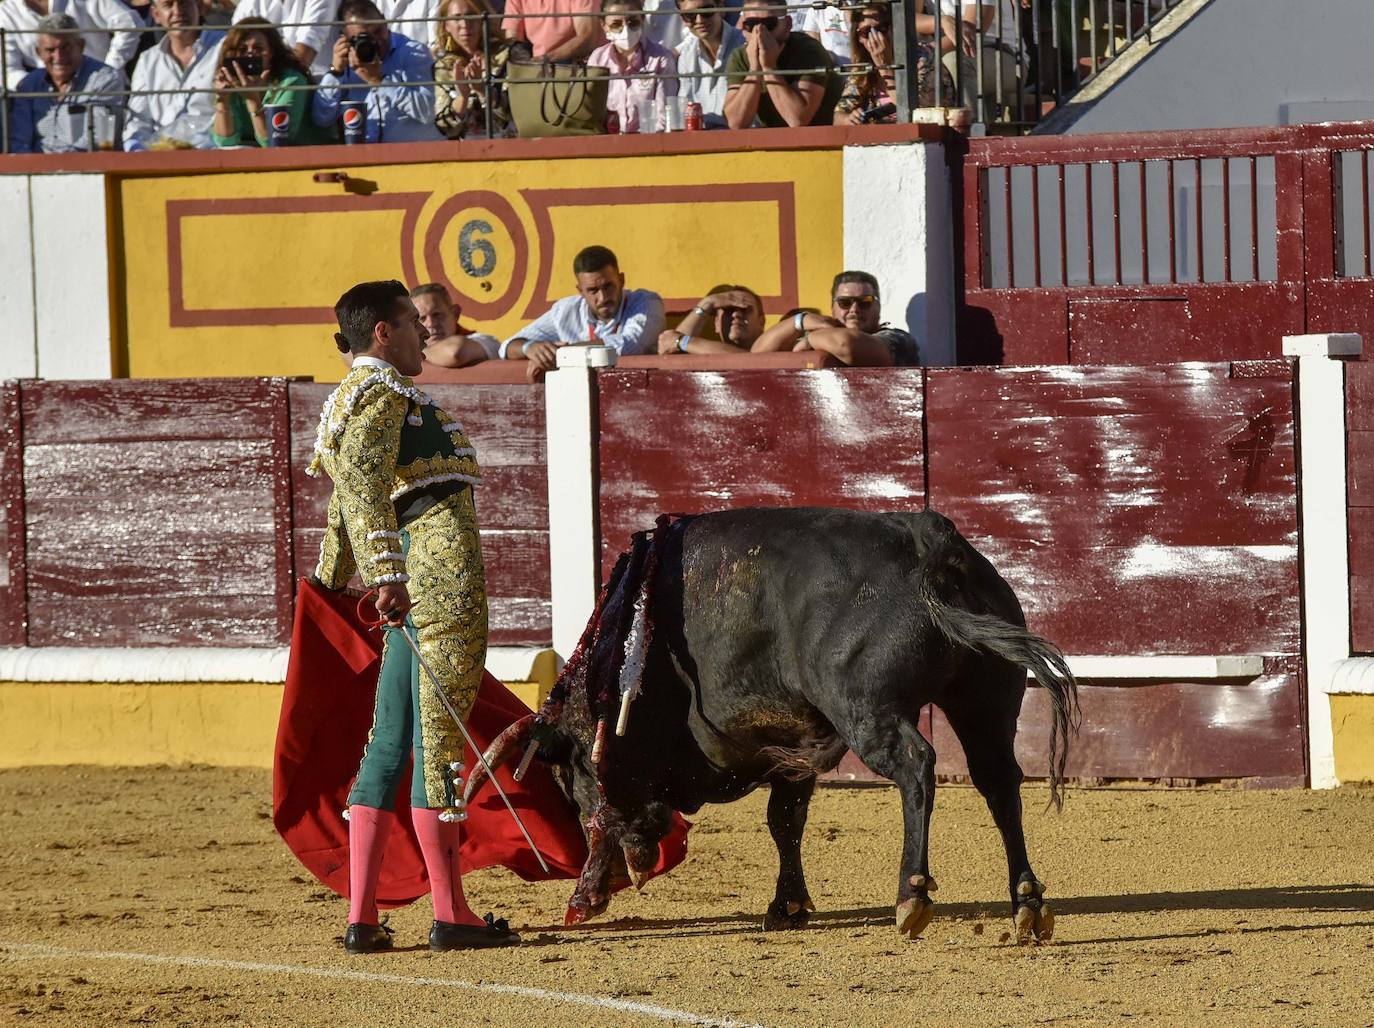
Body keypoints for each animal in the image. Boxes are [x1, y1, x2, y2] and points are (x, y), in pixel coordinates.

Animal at [467, 503, 1077, 940]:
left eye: (568, 777)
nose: (624, 873)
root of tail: (929, 539)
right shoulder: (793, 742)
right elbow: (786, 820)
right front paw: (787, 905)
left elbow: (610, 811)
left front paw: (586, 894)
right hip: (985, 702)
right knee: (998, 781)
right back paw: (1026, 903)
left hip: (867, 710)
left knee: (917, 766)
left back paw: (912, 894)